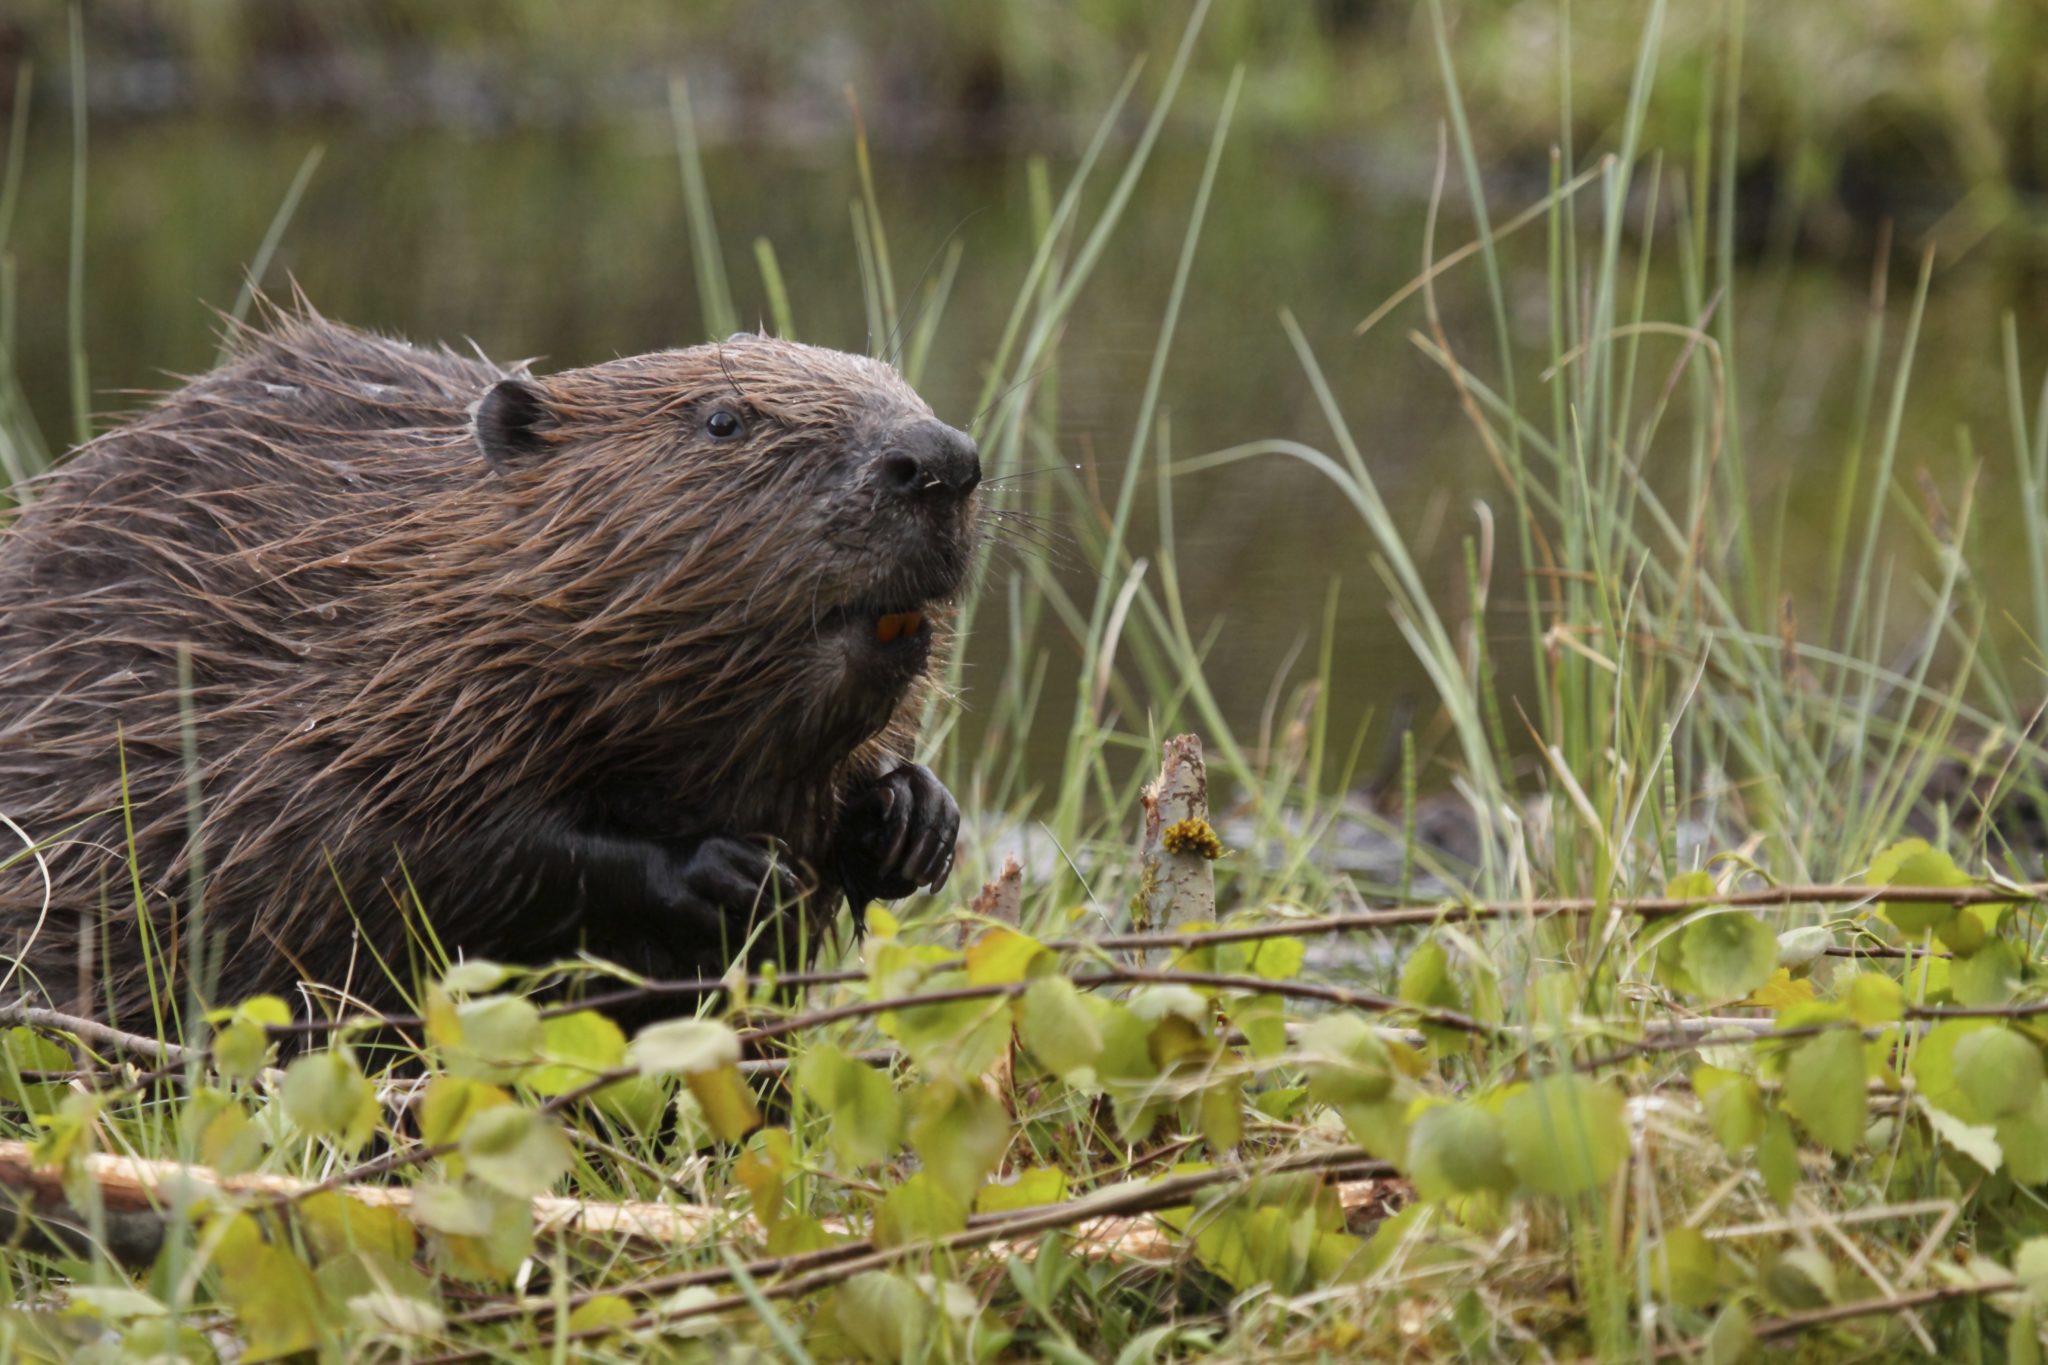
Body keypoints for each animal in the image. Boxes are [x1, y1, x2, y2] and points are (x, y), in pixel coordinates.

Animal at [0, 306, 983, 1023]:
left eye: (902, 386)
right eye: (723, 419)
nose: (940, 459)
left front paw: (913, 818)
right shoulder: (328, 696)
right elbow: (402, 850)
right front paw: (726, 870)